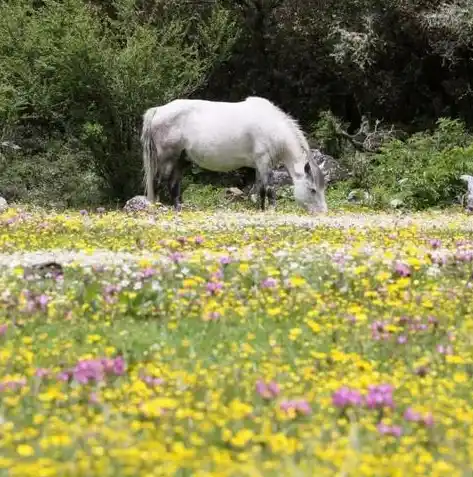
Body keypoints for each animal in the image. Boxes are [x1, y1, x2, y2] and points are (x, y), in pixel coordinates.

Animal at [138, 96, 326, 212]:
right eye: (313, 190)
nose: (323, 212)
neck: (273, 128)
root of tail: (158, 110)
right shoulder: (264, 162)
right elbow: (269, 189)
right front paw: (272, 210)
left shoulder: (260, 165)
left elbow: (260, 189)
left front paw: (262, 210)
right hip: (167, 159)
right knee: (158, 182)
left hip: (180, 160)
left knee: (173, 186)